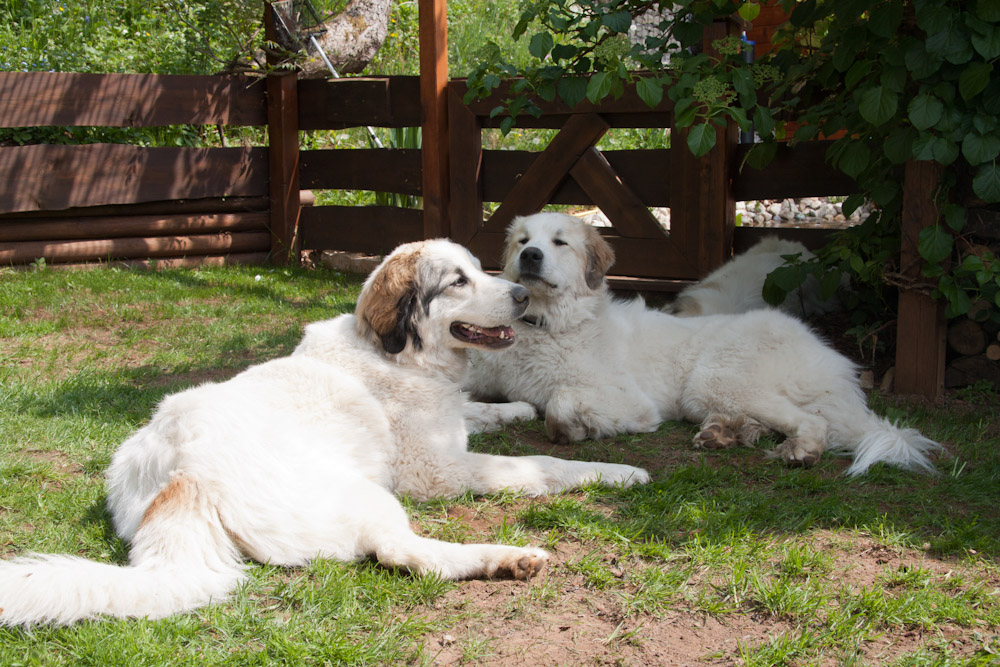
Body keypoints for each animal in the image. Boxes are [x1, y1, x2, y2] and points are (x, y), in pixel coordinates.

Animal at [0, 239, 648, 628]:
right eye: (458, 281)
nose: (519, 292)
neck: (395, 353)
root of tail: (182, 480)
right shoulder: (440, 471)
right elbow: (545, 467)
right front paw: (618, 472)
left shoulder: (449, 416)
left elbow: (477, 409)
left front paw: (515, 410)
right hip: (367, 495)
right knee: (409, 555)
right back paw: (506, 560)